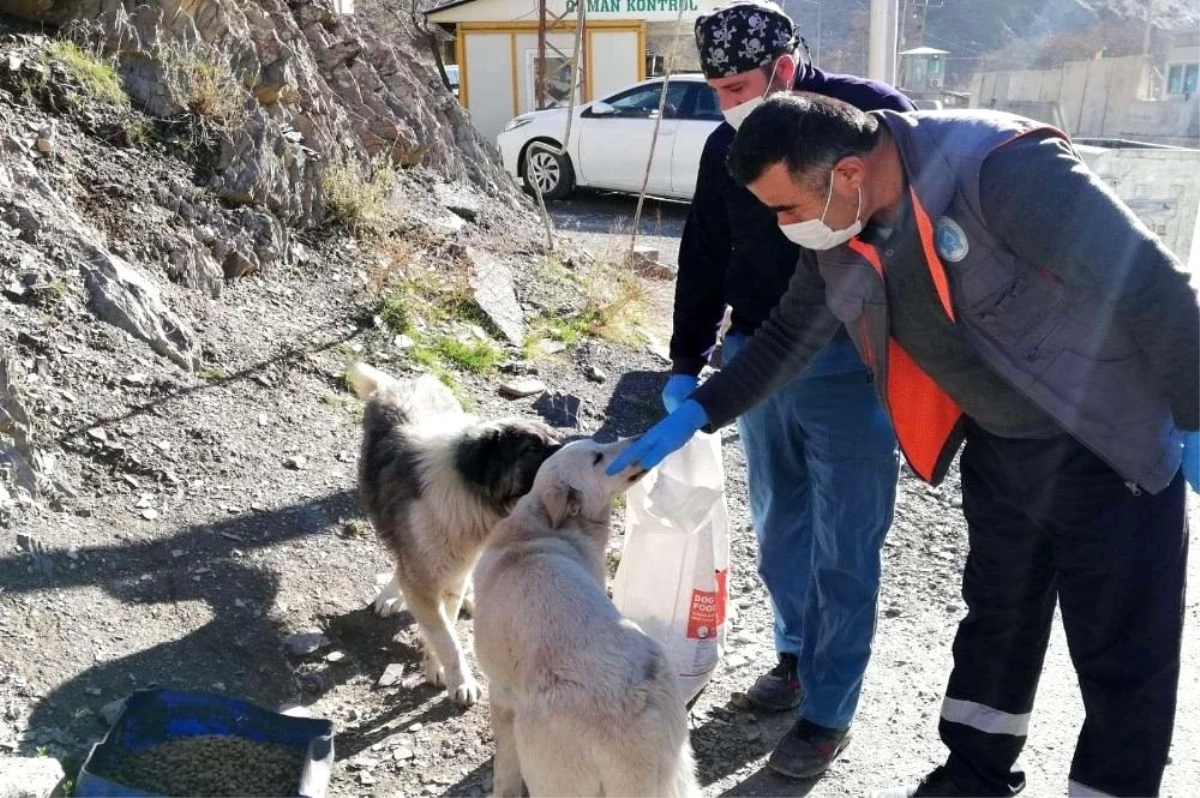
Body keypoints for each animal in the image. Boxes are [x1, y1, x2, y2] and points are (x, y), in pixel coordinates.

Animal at [470, 439, 700, 792]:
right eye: (597, 457)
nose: (639, 438)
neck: (537, 530)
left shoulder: (500, 692)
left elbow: (505, 767)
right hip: (675, 772)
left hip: (553, 778)